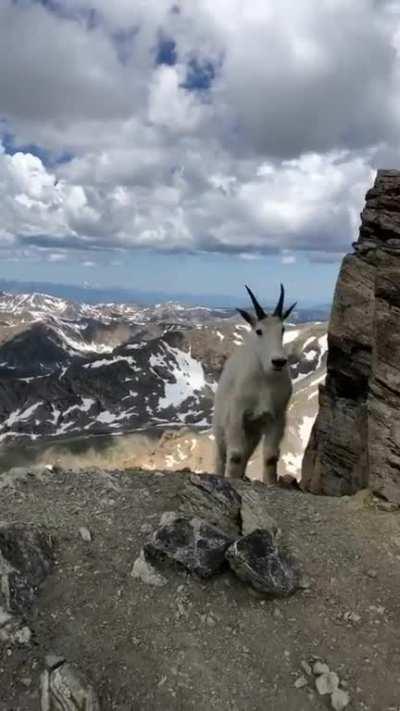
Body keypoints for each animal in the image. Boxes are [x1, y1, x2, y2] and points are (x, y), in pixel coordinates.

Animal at [212, 284, 296, 484]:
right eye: (259, 331)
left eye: (282, 329)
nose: (278, 361)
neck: (264, 379)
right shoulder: (236, 416)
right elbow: (235, 456)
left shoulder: (277, 418)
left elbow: (270, 456)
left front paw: (271, 484)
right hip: (221, 426)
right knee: (221, 456)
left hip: (253, 432)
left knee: (246, 455)